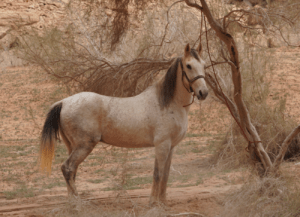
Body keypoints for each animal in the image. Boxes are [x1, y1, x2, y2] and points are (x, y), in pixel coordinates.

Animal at [38, 42, 209, 205]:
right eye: (189, 65)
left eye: (204, 64)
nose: (204, 93)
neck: (168, 104)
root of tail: (63, 102)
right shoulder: (162, 145)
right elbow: (158, 174)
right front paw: (154, 203)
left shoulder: (171, 147)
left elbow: (165, 175)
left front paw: (163, 202)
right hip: (84, 146)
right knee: (67, 168)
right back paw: (77, 203)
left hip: (72, 146)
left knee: (72, 171)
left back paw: (72, 202)